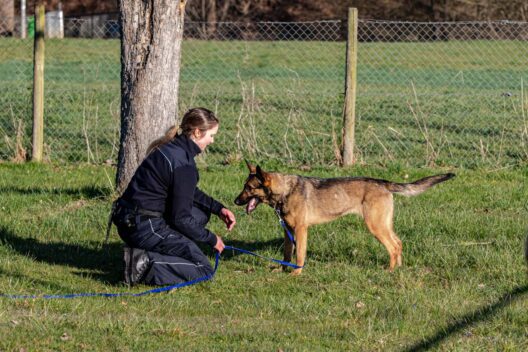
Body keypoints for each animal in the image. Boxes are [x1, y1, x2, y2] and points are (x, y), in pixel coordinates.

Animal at [234, 162, 454, 276]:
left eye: (249, 188)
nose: (235, 201)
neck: (285, 190)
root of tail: (383, 183)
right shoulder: (287, 231)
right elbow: (287, 255)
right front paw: (282, 270)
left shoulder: (301, 230)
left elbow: (299, 256)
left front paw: (296, 273)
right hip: (384, 224)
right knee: (398, 243)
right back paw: (398, 268)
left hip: (375, 226)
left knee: (392, 247)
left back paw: (389, 271)